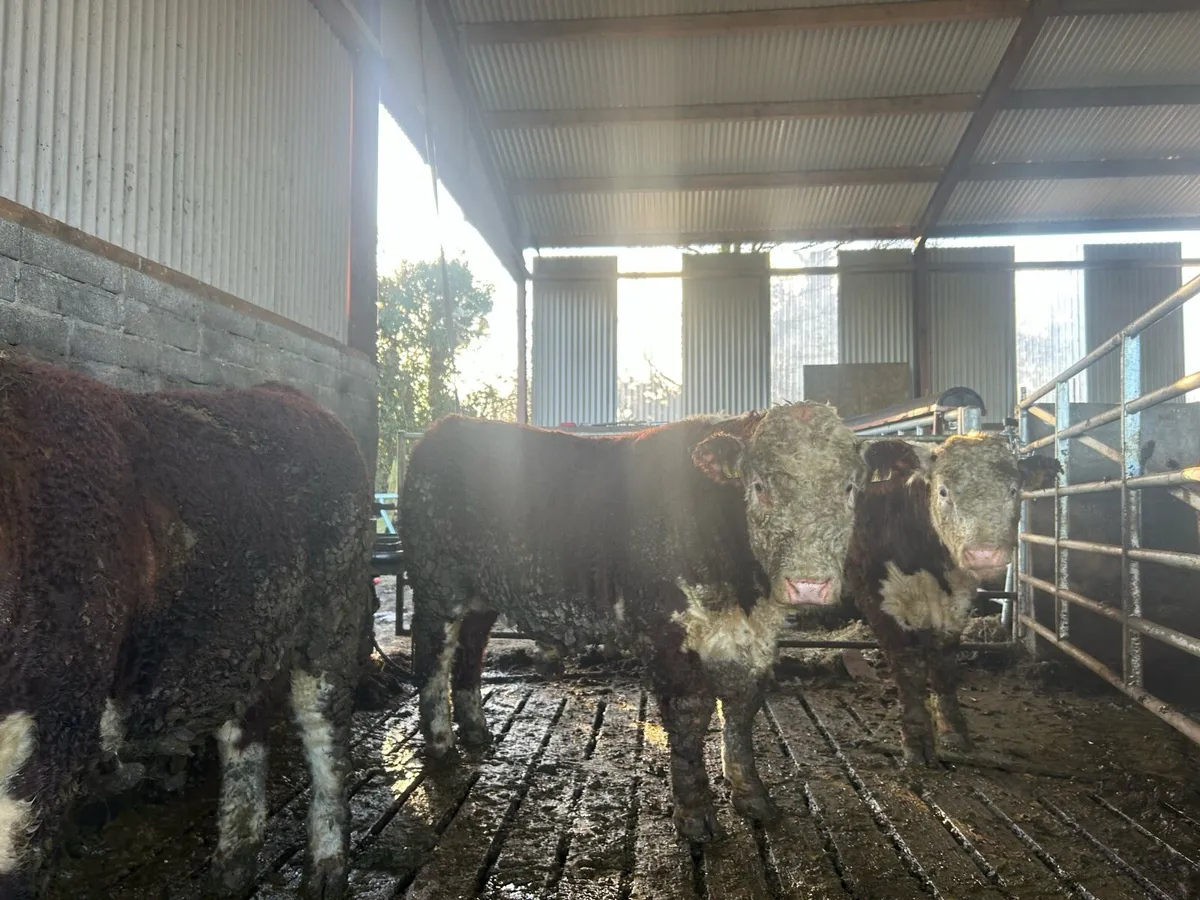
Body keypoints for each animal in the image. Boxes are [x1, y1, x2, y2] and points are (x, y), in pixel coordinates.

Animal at [0, 353, 372, 899]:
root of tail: (291, 396)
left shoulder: (53, 722)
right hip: (252, 630)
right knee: (246, 733)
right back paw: (230, 872)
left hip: (333, 618)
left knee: (326, 736)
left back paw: (325, 872)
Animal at [400, 405, 867, 842]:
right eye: (759, 486)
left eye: (849, 488)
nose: (809, 584)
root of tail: (447, 427)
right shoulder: (662, 624)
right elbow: (689, 710)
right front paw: (694, 814)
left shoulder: (753, 635)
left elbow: (743, 706)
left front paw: (752, 795)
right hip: (436, 583)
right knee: (433, 656)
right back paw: (441, 744)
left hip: (481, 595)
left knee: (471, 652)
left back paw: (476, 731)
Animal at [842, 434, 1060, 765]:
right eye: (943, 491)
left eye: (1013, 490)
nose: (984, 554)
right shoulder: (876, 596)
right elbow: (907, 665)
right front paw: (916, 740)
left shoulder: (958, 600)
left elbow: (943, 663)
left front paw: (952, 730)